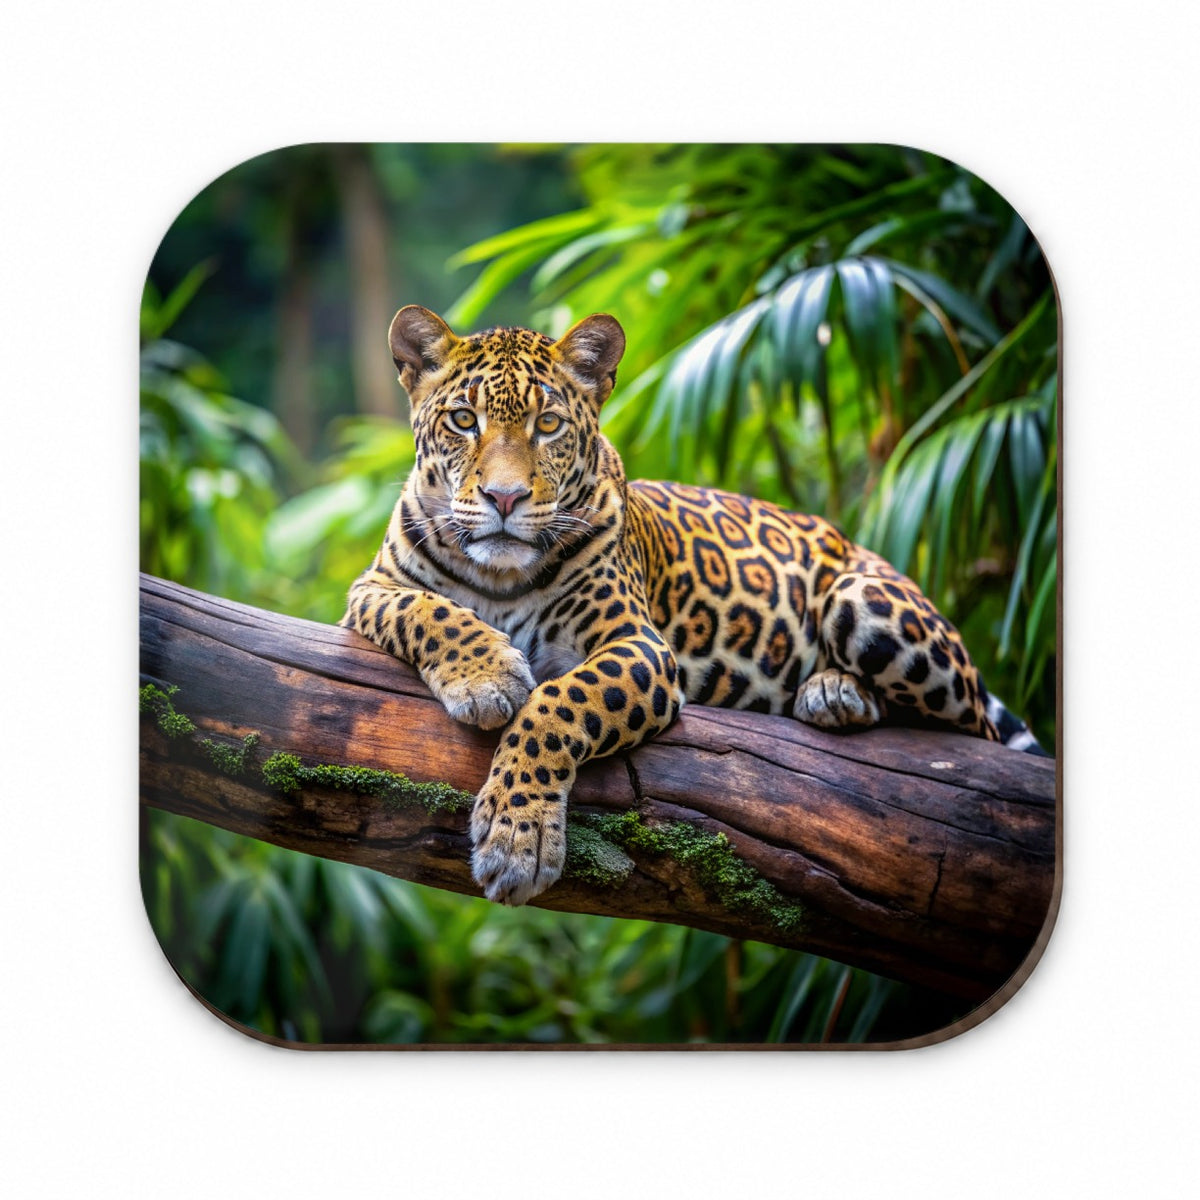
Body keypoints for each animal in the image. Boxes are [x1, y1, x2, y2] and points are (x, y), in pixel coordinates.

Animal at [342, 305, 1043, 906]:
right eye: (464, 421)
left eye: (548, 426)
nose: (505, 498)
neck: (501, 578)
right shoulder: (370, 590)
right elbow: (427, 611)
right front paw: (486, 676)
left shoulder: (641, 646)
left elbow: (557, 703)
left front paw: (520, 840)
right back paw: (834, 692)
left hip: (862, 596)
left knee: (972, 740)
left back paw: (840, 691)